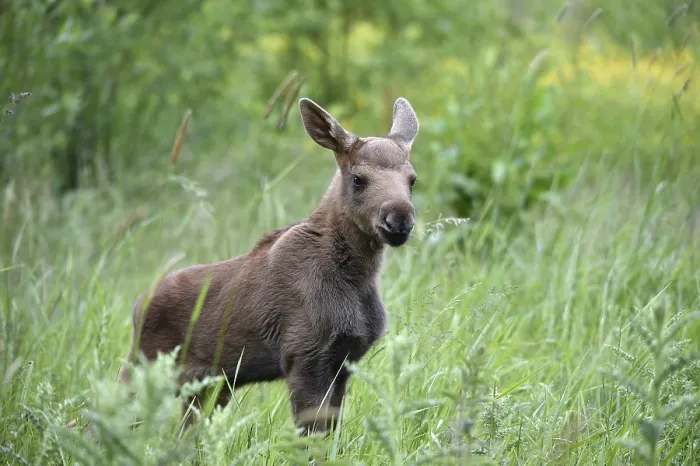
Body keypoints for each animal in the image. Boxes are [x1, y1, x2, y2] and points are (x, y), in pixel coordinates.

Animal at [117, 96, 420, 436]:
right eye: (358, 179)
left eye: (412, 180)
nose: (399, 220)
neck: (359, 278)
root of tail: (137, 306)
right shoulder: (305, 355)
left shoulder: (344, 361)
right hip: (145, 368)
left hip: (209, 386)